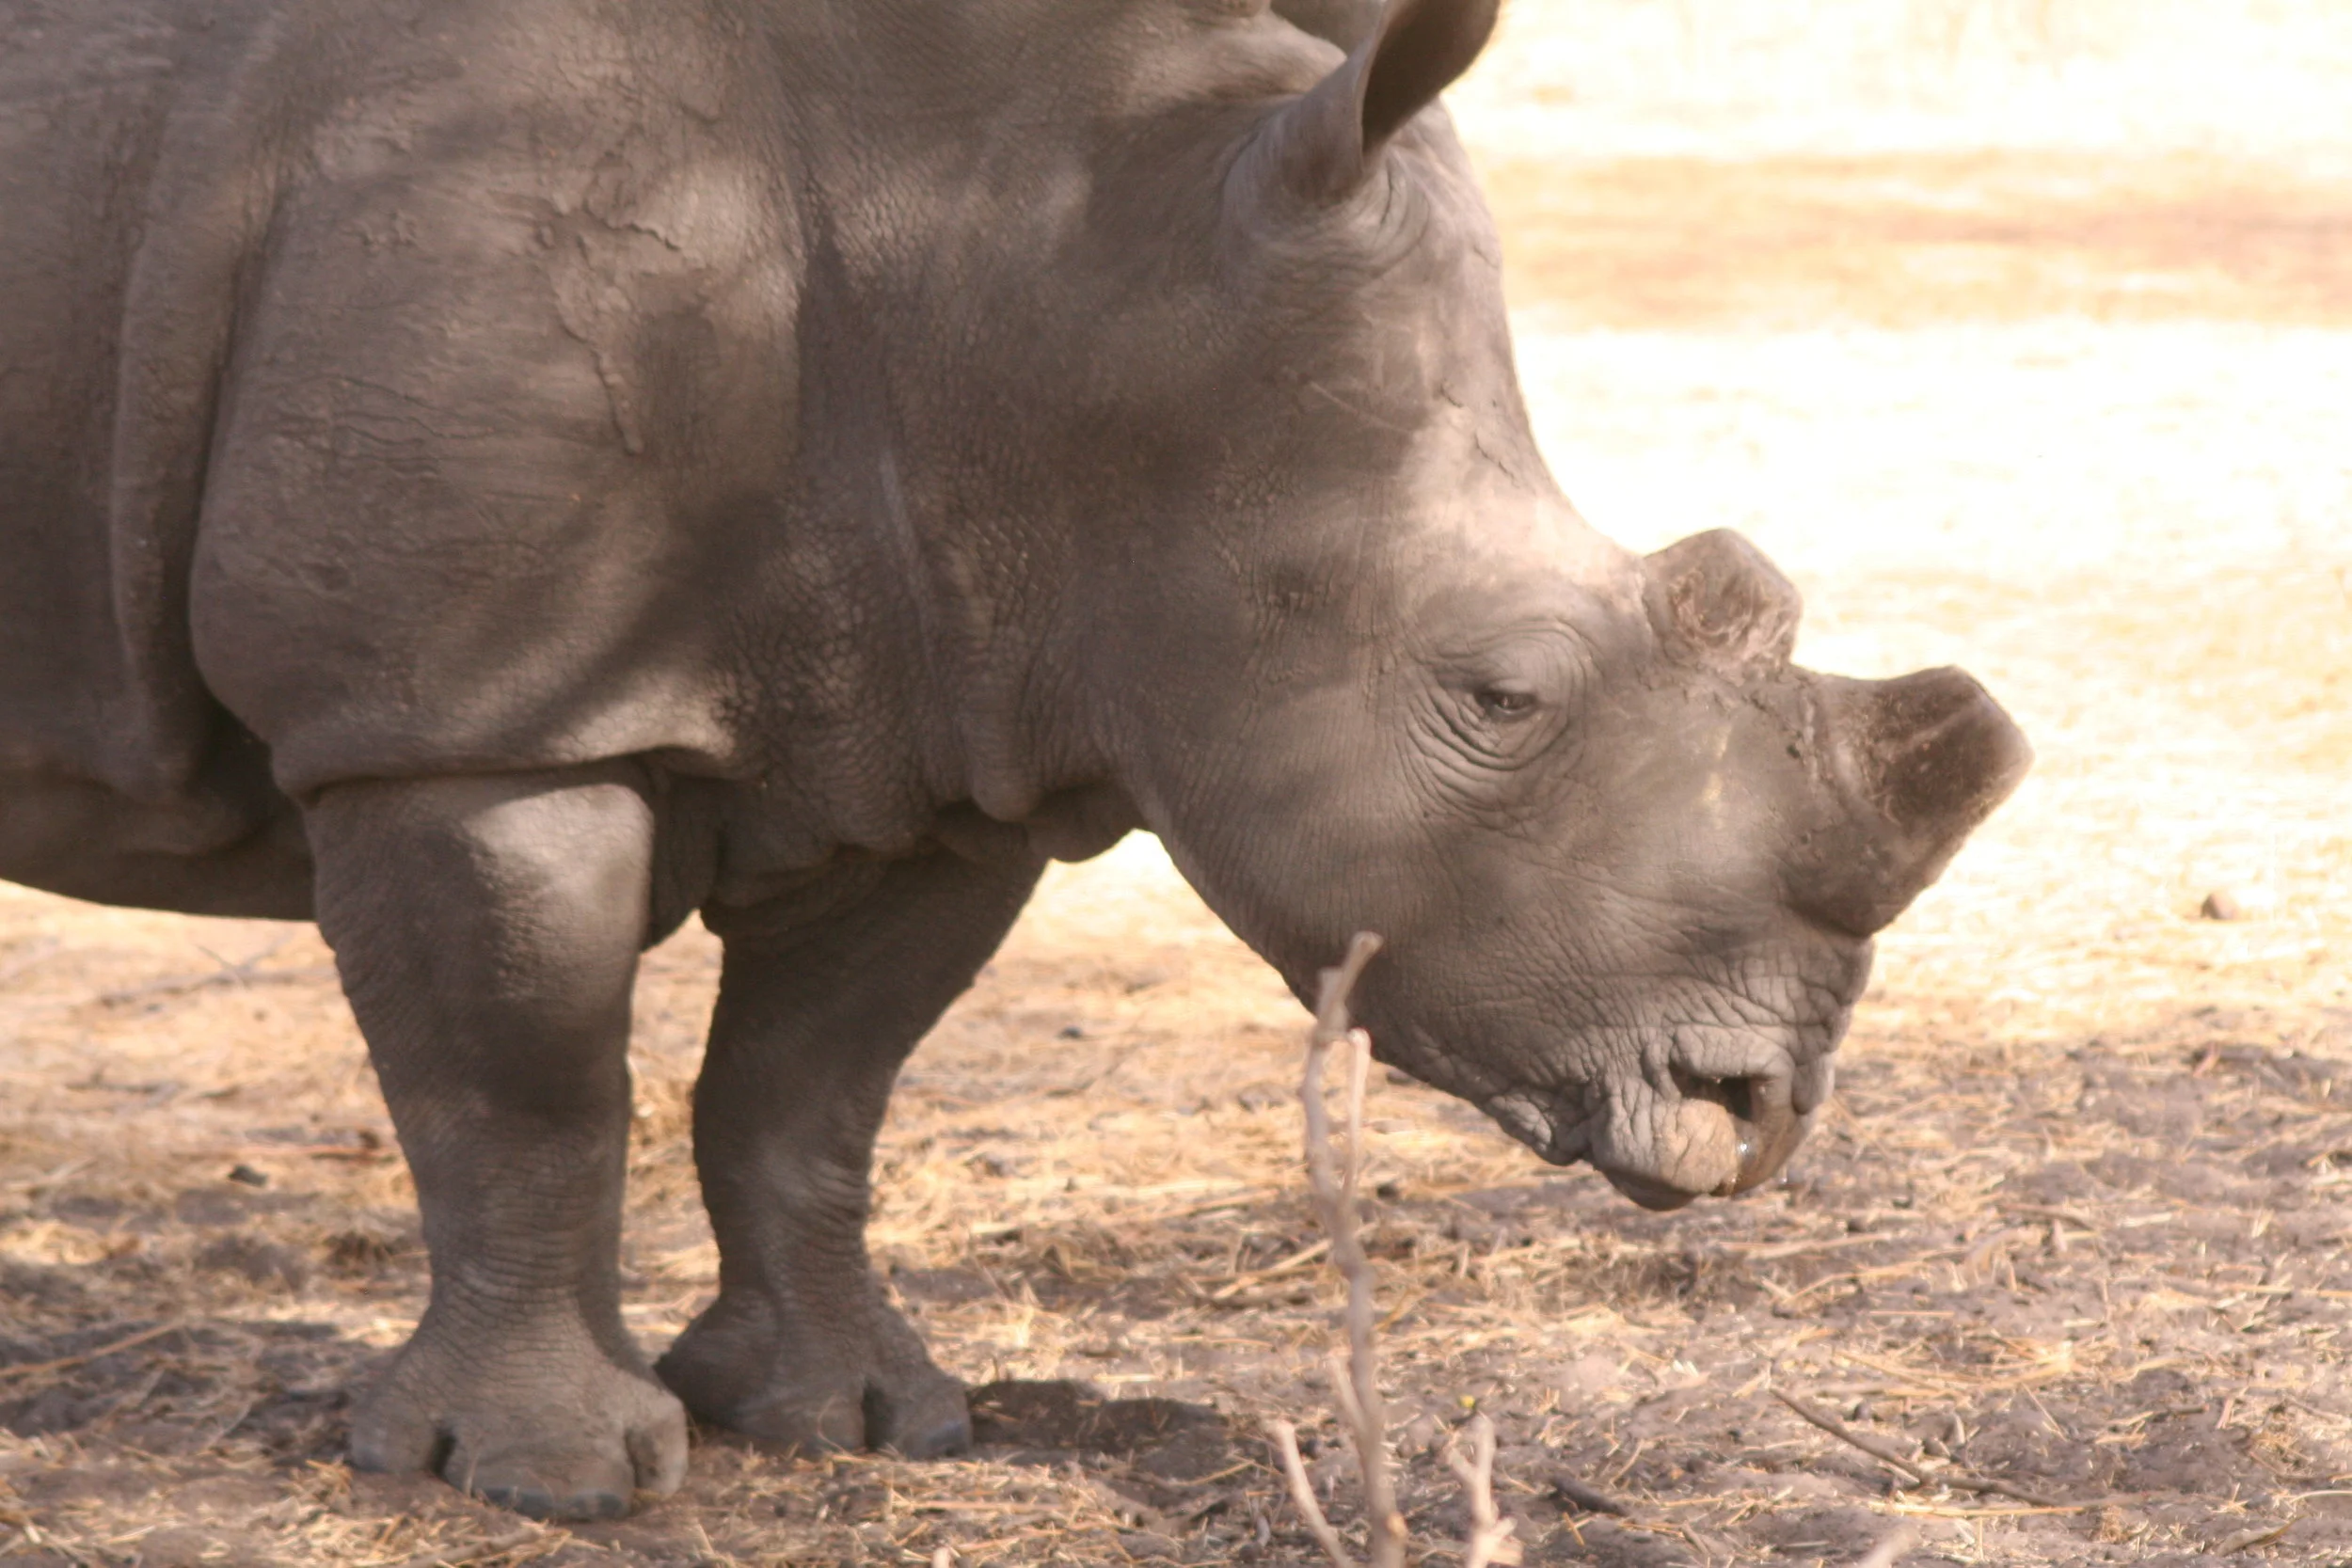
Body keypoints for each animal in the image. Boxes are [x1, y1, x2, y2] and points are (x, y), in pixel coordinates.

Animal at [0, 0, 2028, 1521]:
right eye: (1501, 693)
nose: (1752, 1105)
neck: (1047, 270)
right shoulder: (463, 718)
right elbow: (522, 1091)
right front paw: (545, 1477)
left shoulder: (932, 729)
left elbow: (809, 1093)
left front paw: (857, 1421)